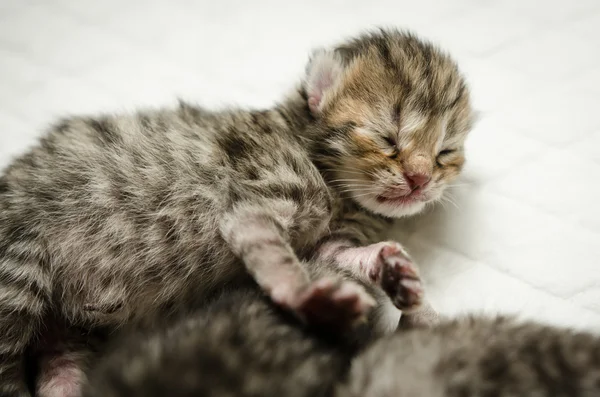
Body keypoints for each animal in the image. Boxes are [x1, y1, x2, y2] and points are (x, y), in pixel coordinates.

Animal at [0, 28, 474, 396]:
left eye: (445, 153)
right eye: (387, 138)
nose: (419, 180)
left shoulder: (330, 245)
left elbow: (343, 255)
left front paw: (392, 266)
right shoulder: (254, 201)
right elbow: (276, 254)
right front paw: (305, 295)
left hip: (69, 327)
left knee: (57, 362)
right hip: (18, 265)